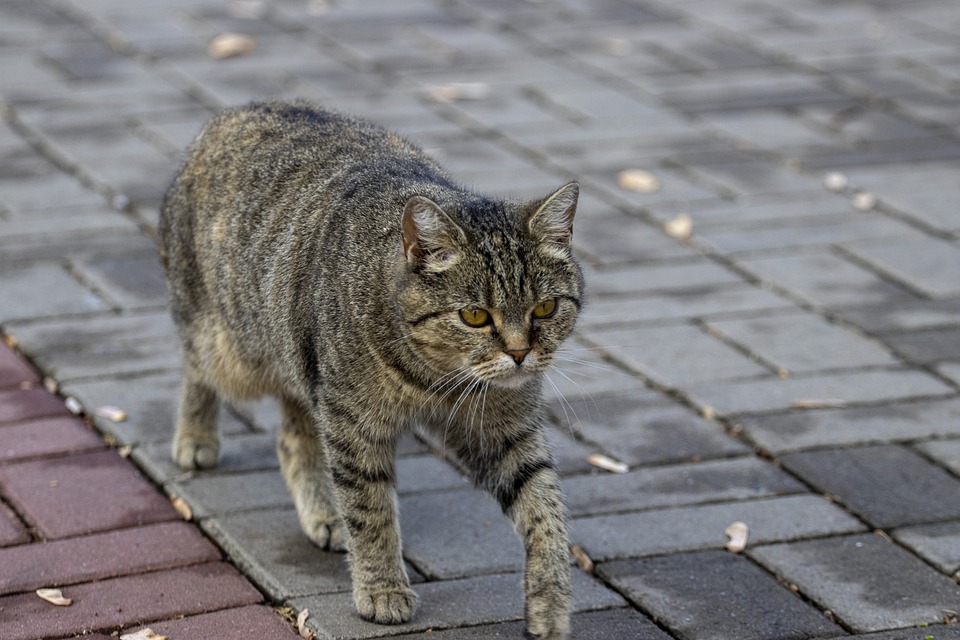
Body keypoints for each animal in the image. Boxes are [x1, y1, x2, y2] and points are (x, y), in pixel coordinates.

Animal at [158, 100, 580, 640]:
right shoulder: (353, 424)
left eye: (545, 308)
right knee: (195, 368)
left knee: (293, 439)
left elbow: (546, 511)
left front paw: (551, 602)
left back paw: (323, 513)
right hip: (233, 350)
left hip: (303, 368)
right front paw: (382, 588)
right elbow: (371, 510)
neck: (433, 378)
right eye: (475, 316)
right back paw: (196, 436)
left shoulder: (503, 430)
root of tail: (237, 110)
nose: (521, 353)